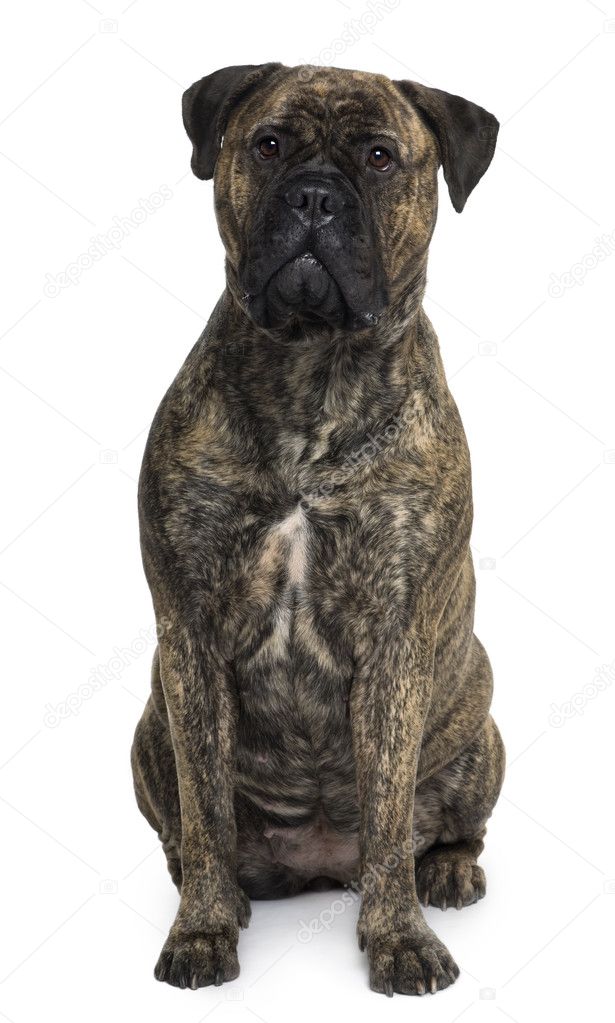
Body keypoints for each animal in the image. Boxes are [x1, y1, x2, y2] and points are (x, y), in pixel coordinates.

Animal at [130, 59, 503, 994]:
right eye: (268, 144)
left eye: (378, 157)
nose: (313, 196)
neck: (313, 367)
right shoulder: (188, 636)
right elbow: (205, 809)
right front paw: (202, 928)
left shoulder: (396, 642)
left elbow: (388, 809)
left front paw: (398, 938)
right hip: (148, 728)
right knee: (183, 831)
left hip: (479, 724)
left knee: (439, 829)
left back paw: (446, 871)